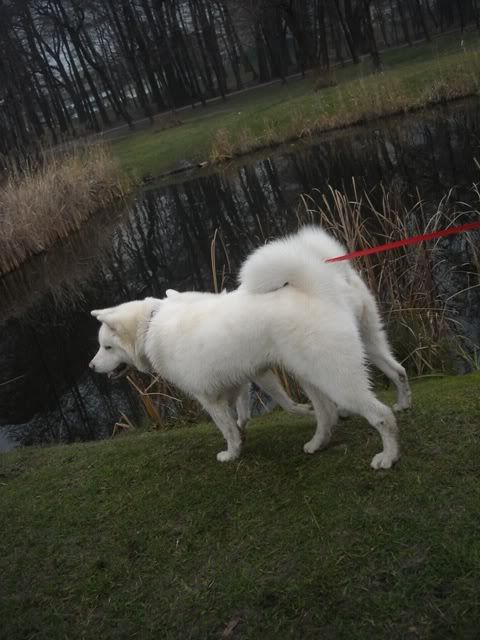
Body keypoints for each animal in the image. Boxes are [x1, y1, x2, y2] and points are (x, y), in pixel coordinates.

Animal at [90, 227, 403, 469]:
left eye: (106, 347)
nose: (91, 366)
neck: (151, 325)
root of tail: (316, 286)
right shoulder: (242, 379)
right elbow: (242, 415)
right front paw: (243, 436)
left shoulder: (210, 398)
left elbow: (227, 428)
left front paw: (231, 453)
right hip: (316, 368)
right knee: (334, 409)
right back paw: (319, 442)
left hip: (335, 376)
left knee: (381, 415)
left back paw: (388, 456)